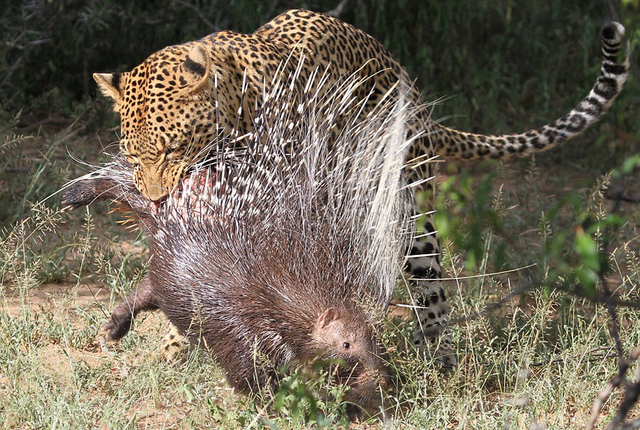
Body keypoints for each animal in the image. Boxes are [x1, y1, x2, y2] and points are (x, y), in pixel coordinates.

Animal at [91, 8, 632, 368]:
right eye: (135, 158)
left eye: (172, 148)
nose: (158, 200)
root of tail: (408, 84)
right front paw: (174, 341)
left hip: (407, 206)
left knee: (429, 286)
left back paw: (440, 361)